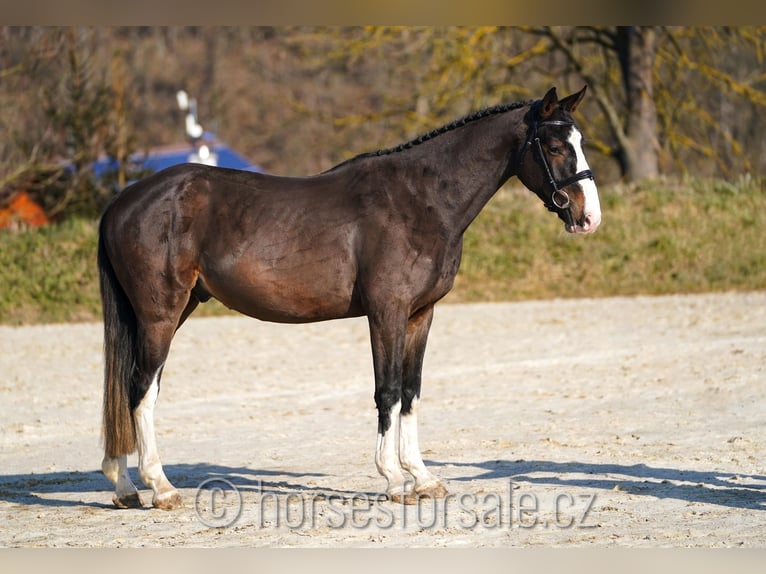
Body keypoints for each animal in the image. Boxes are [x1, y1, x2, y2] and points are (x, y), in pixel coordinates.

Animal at [97, 84, 600, 508]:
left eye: (580, 141)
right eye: (555, 147)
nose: (589, 217)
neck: (421, 200)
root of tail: (122, 201)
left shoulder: (420, 315)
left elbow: (411, 391)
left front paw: (423, 478)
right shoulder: (386, 312)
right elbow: (388, 391)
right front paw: (394, 479)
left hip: (169, 311)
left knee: (126, 387)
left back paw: (124, 488)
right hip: (161, 314)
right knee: (141, 389)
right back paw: (161, 488)